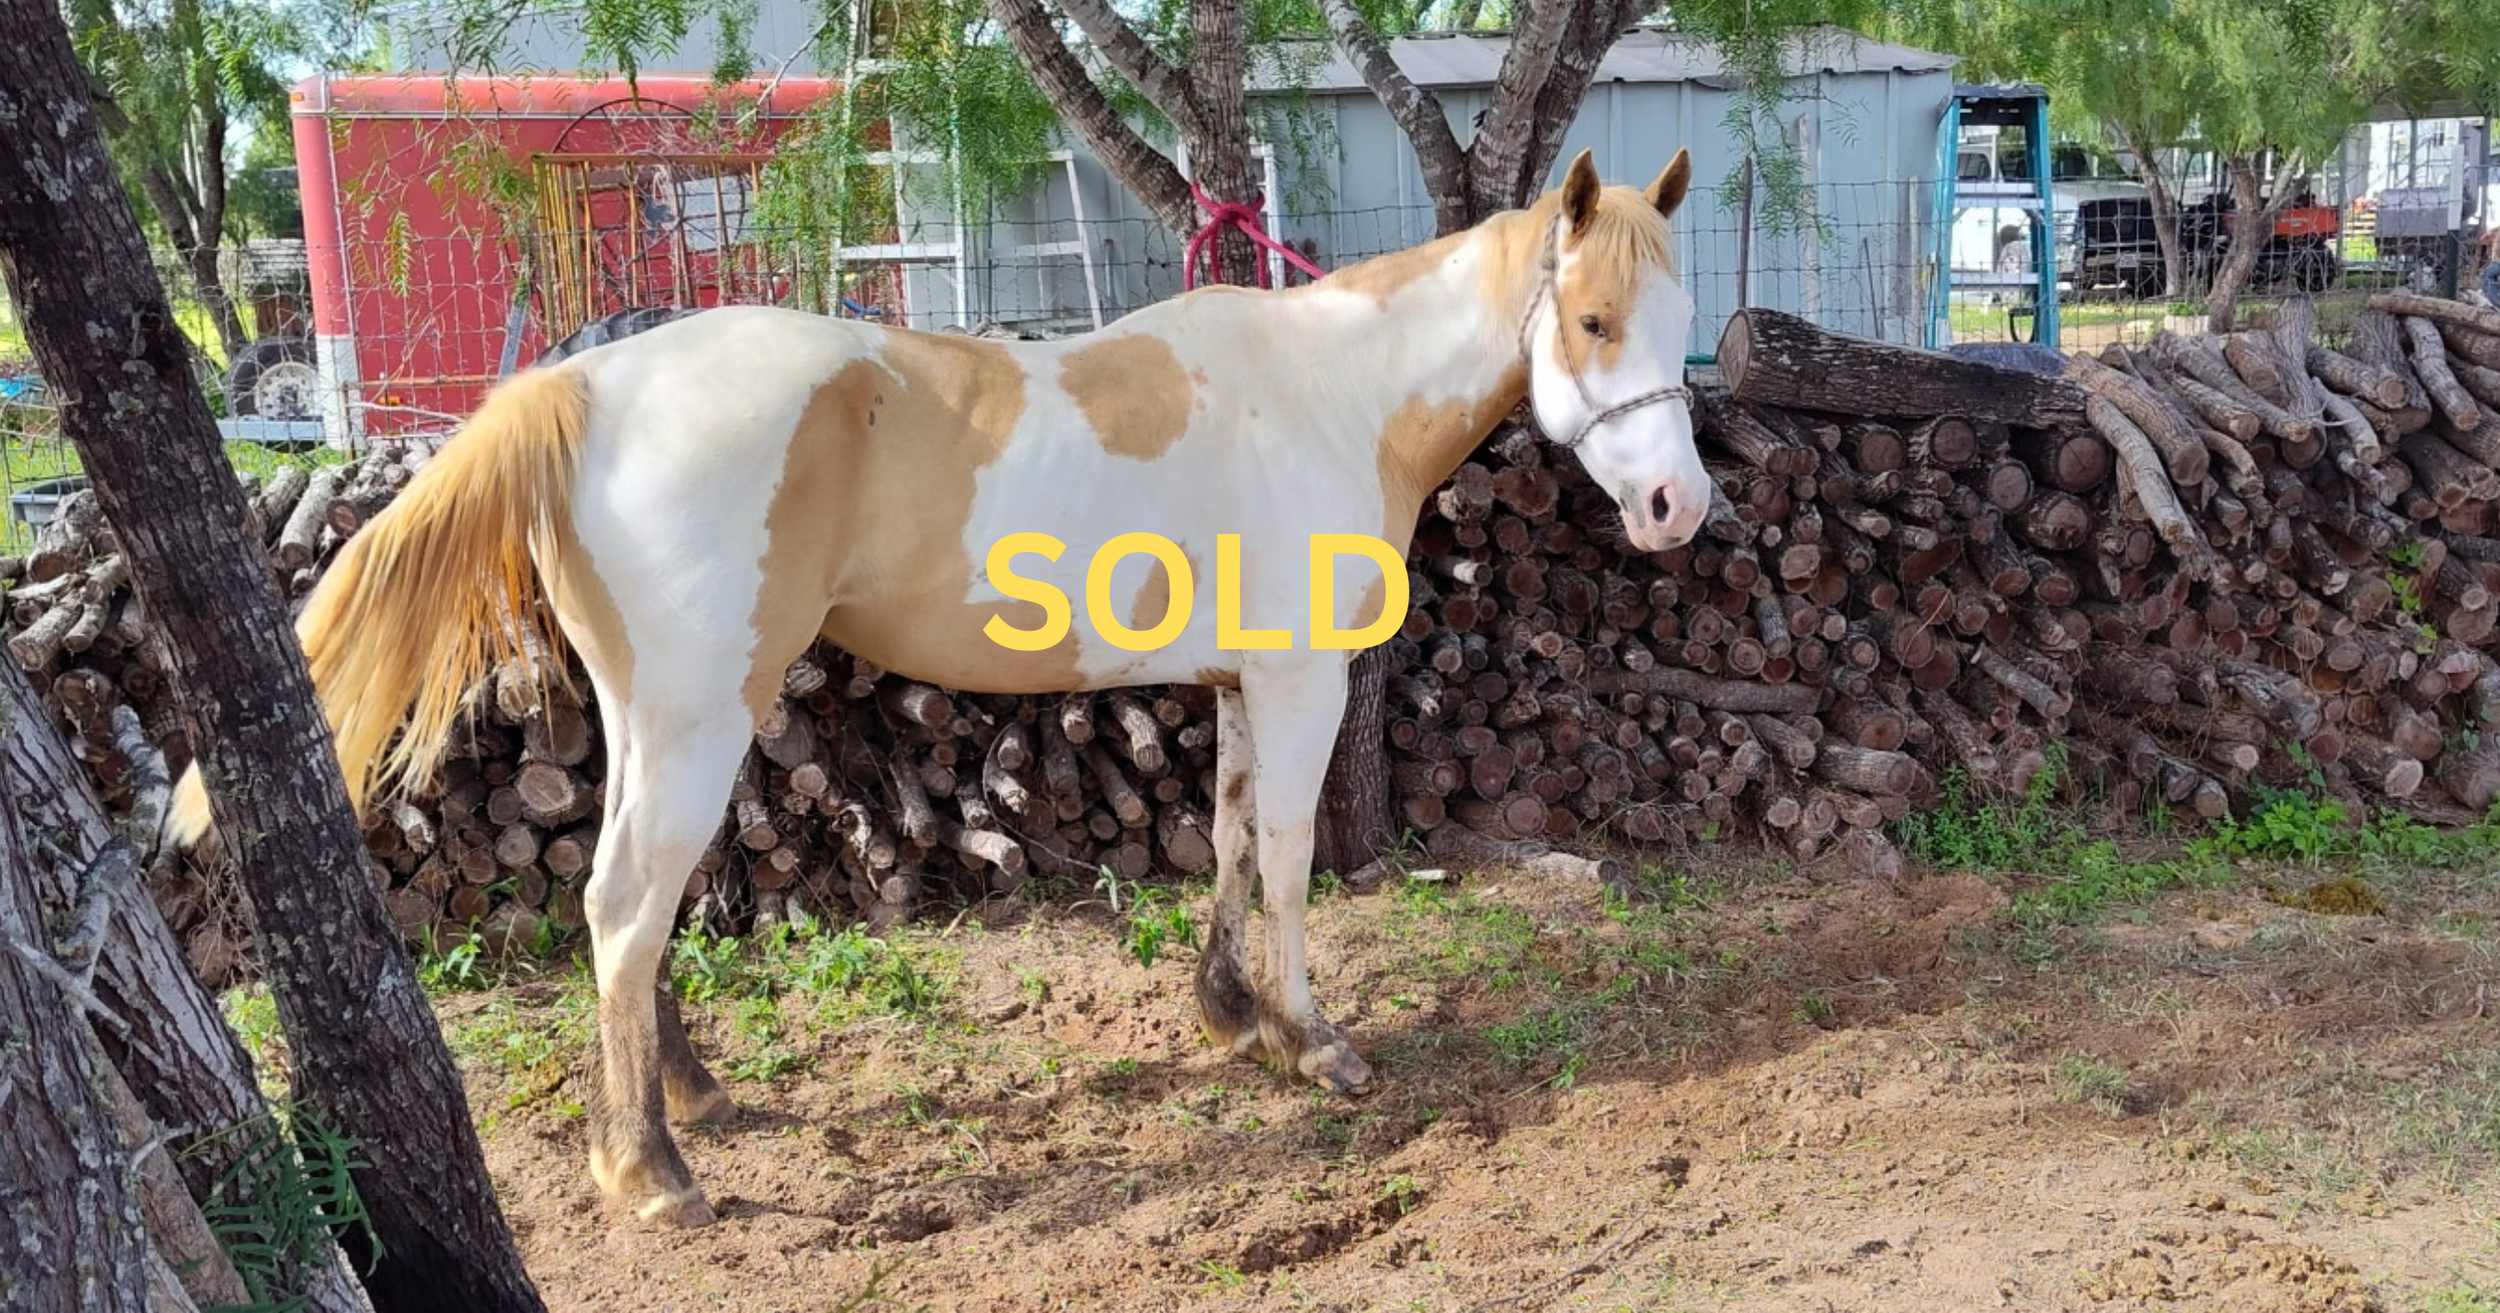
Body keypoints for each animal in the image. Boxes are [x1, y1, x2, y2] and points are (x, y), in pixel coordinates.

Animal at [165, 146, 1707, 1228]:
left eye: (1678, 315)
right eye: (1589, 317)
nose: (1678, 508)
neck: (1328, 392)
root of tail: (587, 386)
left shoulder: (1237, 683)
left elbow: (1223, 838)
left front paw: (1230, 1011)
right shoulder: (1301, 681)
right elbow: (1280, 857)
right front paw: (1313, 1041)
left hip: (648, 719)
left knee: (628, 904)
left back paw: (684, 1096)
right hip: (698, 720)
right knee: (621, 905)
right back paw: (650, 1169)